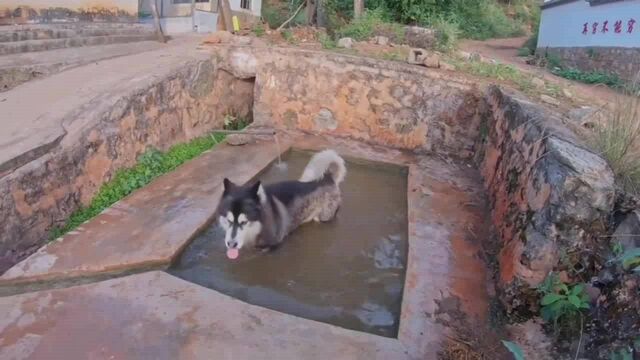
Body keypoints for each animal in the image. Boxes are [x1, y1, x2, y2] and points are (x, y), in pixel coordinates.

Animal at [216, 149, 348, 258]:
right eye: (228, 220)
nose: (231, 244)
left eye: (244, 222)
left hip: (324, 217)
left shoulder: (272, 246)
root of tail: (327, 178)